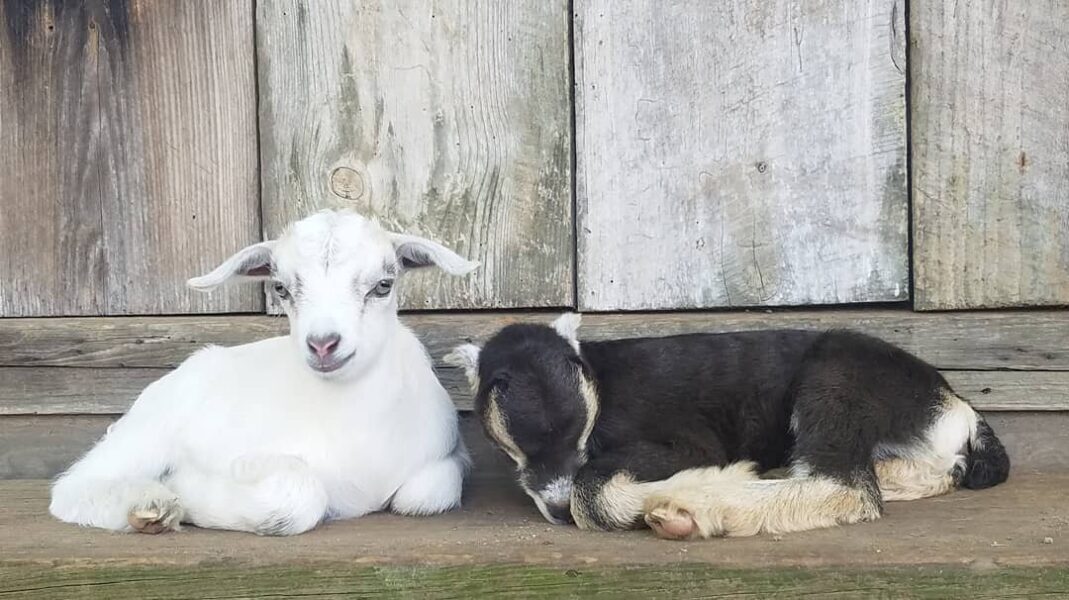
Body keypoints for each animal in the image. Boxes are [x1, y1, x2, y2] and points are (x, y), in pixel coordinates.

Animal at [50, 210, 477, 535]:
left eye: (384, 285)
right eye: (281, 289)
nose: (323, 344)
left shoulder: (445, 458)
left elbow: (422, 496)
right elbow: (298, 494)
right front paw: (185, 487)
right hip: (146, 434)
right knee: (75, 486)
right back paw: (150, 505)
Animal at [446, 313, 1010, 539]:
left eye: (582, 435)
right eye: (518, 450)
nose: (557, 510)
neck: (599, 382)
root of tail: (956, 406)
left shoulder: (689, 443)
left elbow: (592, 490)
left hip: (835, 374)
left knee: (846, 487)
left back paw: (702, 506)